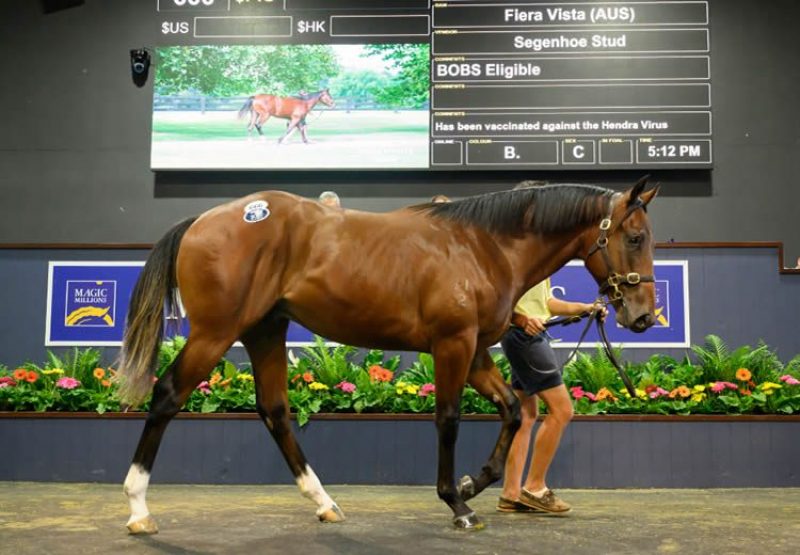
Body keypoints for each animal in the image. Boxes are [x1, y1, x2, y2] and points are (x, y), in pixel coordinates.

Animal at [117, 177, 656, 536]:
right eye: (634, 237)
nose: (643, 316)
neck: (481, 245)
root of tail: (203, 220)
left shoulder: (476, 352)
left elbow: (510, 411)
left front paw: (472, 485)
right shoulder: (453, 344)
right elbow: (448, 419)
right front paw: (457, 504)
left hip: (264, 331)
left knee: (274, 411)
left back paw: (324, 502)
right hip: (215, 333)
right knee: (167, 395)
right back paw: (139, 509)